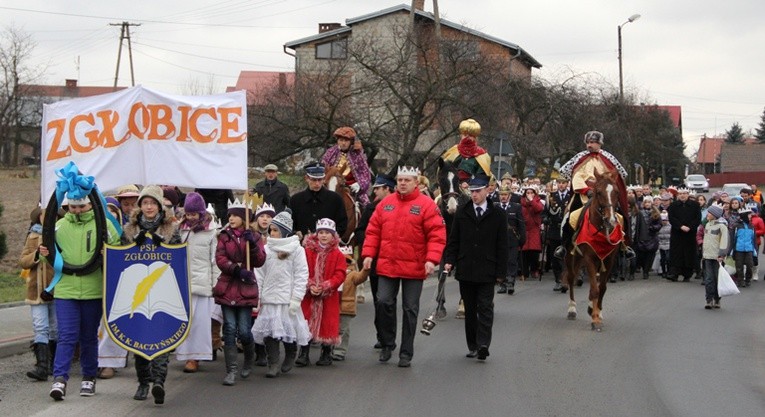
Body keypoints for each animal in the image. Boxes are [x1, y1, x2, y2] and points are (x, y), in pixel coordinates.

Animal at [560, 167, 624, 330]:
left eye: (617, 192)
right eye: (599, 192)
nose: (611, 220)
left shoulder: (609, 260)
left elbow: (602, 288)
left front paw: (597, 313)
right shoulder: (589, 258)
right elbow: (595, 289)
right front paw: (595, 320)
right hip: (571, 256)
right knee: (571, 278)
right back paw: (572, 309)